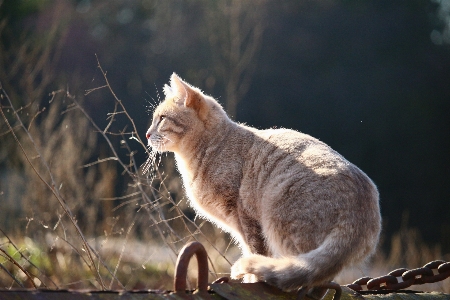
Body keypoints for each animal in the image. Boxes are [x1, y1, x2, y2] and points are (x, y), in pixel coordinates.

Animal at [146, 74, 382, 292]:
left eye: (162, 119)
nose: (147, 134)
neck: (212, 146)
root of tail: (362, 205)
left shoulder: (245, 218)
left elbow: (254, 251)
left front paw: (251, 280)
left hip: (281, 224)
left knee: (303, 271)